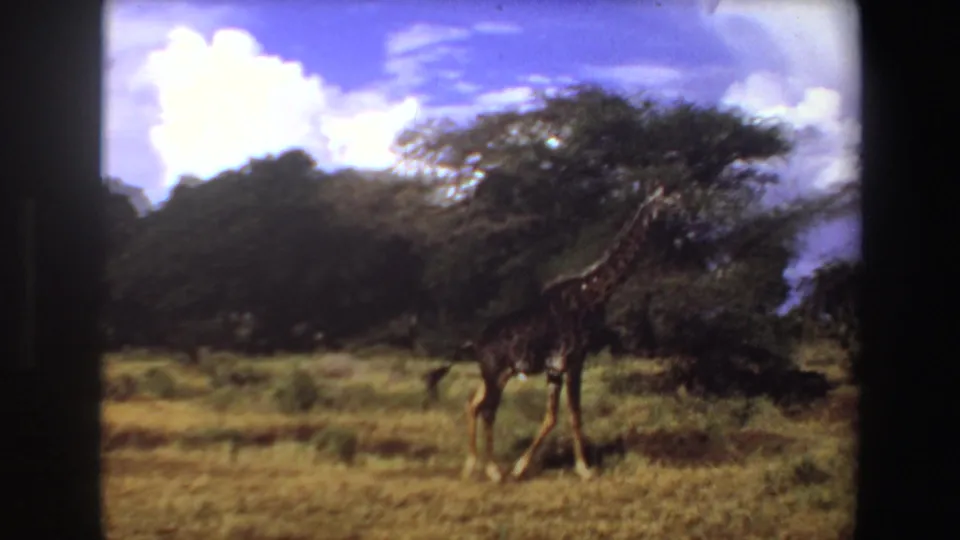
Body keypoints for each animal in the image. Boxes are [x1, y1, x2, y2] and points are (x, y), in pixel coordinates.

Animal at [461, 185, 666, 482]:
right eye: (668, 198)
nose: (683, 207)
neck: (589, 295)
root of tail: (475, 343)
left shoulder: (562, 366)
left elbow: (560, 415)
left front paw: (573, 467)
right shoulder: (570, 360)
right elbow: (568, 414)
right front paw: (582, 469)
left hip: (499, 374)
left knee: (475, 404)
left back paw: (471, 466)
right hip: (495, 372)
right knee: (487, 410)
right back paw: (493, 470)